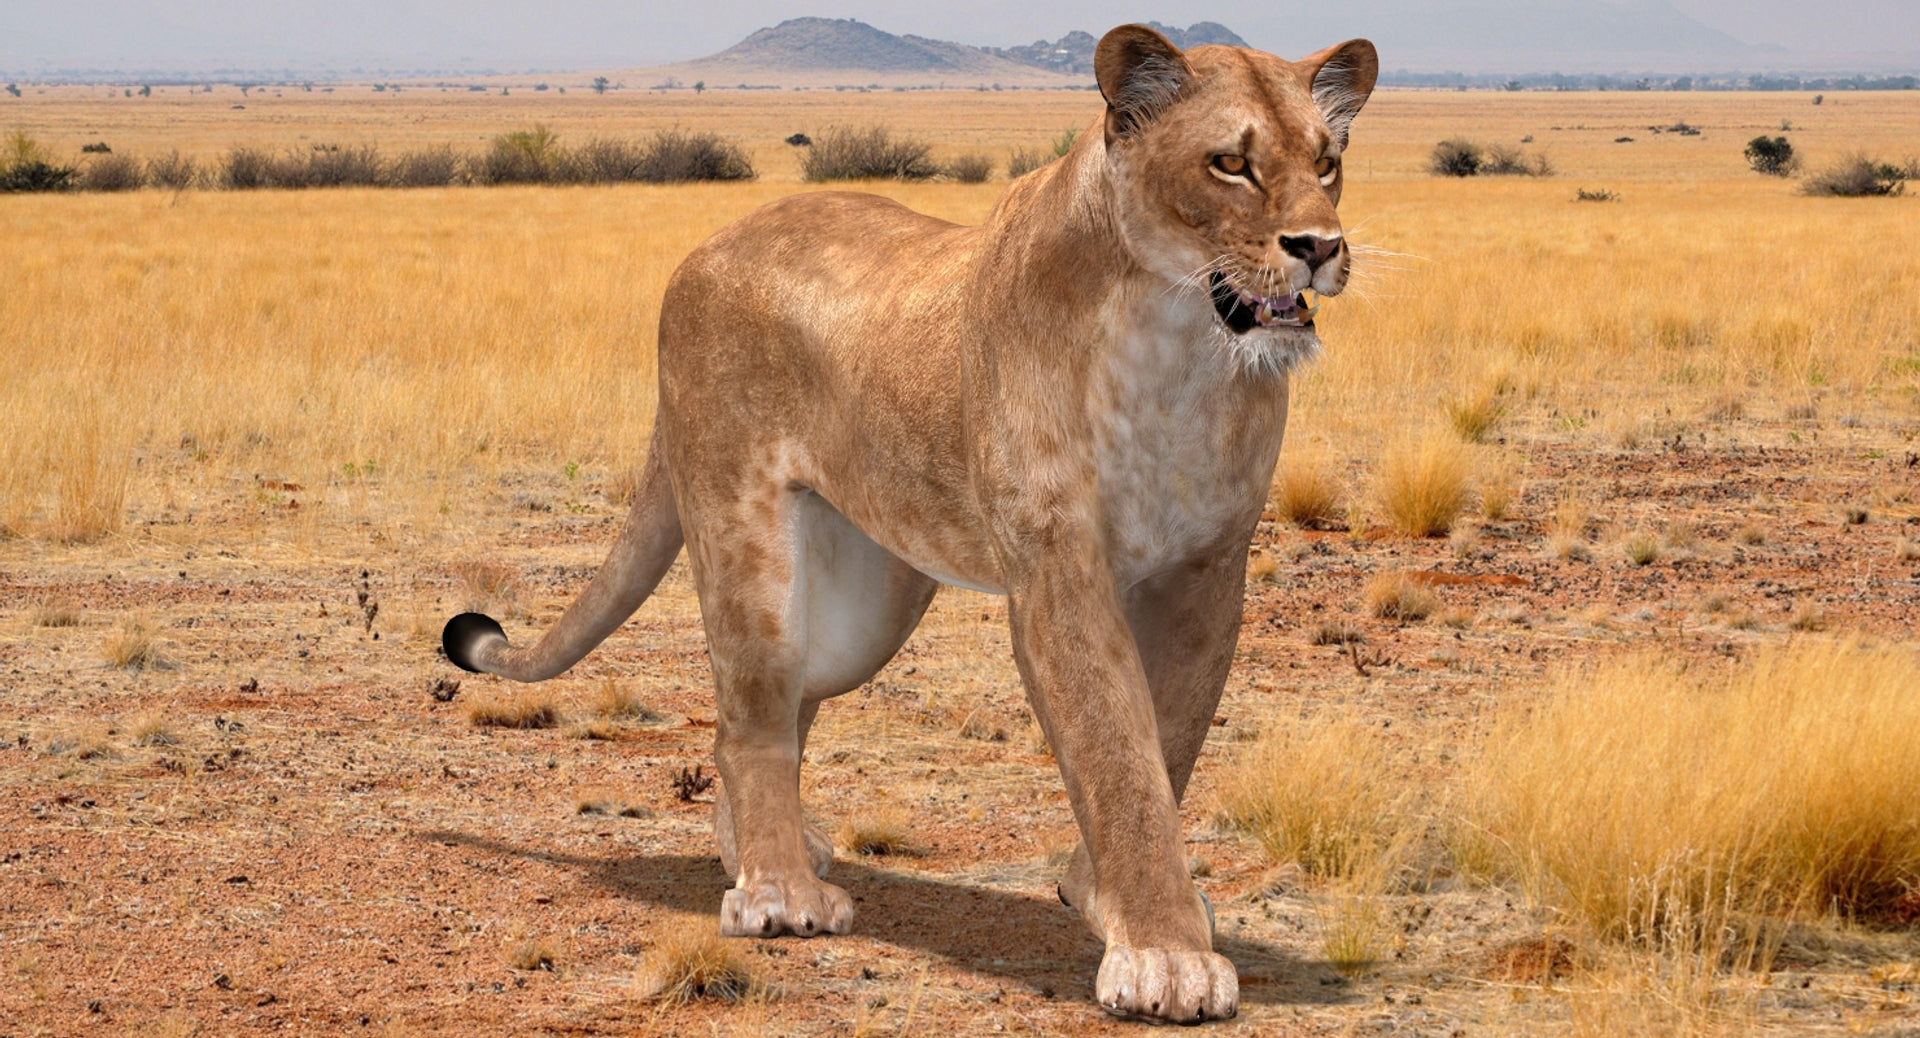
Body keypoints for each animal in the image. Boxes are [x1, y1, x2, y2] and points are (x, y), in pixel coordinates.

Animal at [442, 24, 1377, 1022]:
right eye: (1231, 164)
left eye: (1328, 161)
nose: (1320, 246)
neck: (1183, 350)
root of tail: (705, 247)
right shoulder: (1058, 568)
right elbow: (1118, 751)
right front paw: (1168, 956)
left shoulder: (1208, 569)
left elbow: (1167, 739)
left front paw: (1105, 899)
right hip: (749, 545)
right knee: (751, 712)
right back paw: (778, 892)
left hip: (862, 613)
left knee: (775, 710)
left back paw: (760, 850)